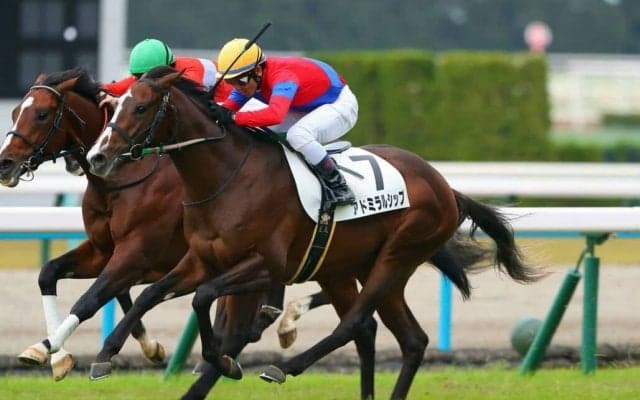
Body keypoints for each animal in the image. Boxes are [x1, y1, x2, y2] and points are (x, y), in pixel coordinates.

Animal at [0, 68, 284, 385]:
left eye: (41, 114)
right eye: (14, 112)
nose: (4, 163)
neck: (124, 176)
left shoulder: (137, 253)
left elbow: (92, 299)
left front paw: (62, 350)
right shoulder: (103, 250)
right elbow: (50, 273)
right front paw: (55, 356)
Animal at [86, 66, 539, 400]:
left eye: (142, 107)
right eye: (114, 105)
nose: (97, 156)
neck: (227, 177)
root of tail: (445, 187)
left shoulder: (265, 266)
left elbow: (204, 299)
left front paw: (222, 359)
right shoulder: (200, 260)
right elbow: (151, 292)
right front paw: (106, 354)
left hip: (397, 255)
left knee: (355, 324)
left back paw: (284, 366)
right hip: (356, 267)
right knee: (411, 340)